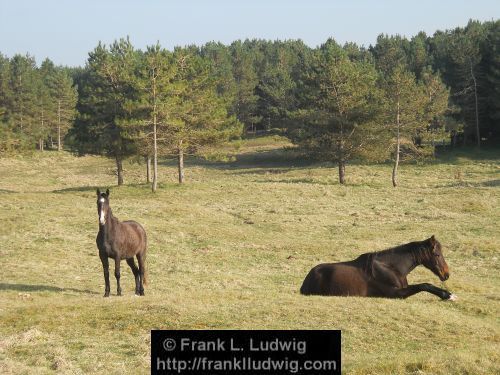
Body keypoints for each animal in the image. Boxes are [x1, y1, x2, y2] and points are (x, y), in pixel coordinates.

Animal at [300, 236, 458, 302]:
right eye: (437, 254)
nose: (446, 274)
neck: (391, 267)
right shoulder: (395, 293)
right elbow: (424, 285)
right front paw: (448, 295)